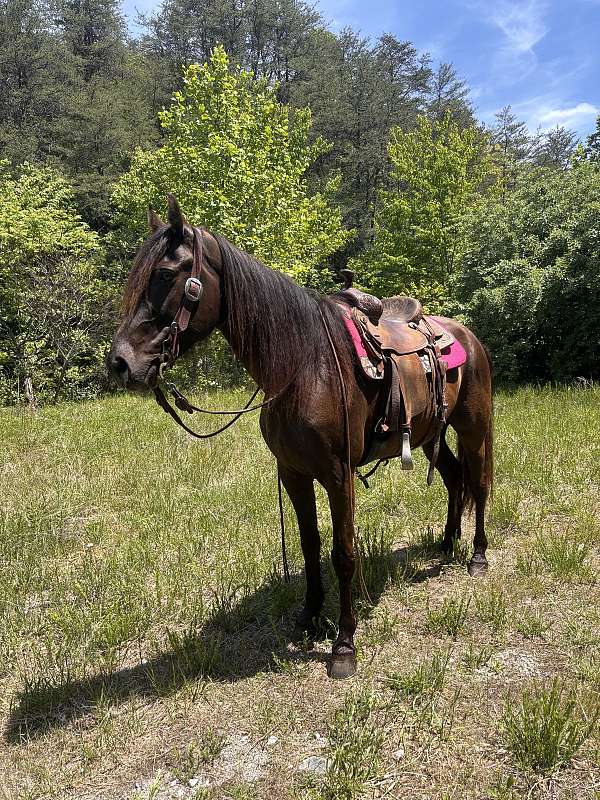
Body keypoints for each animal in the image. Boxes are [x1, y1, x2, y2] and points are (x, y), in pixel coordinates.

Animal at [108, 195, 493, 680]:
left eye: (163, 274)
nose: (118, 362)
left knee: (478, 482)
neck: (304, 368)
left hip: (474, 427)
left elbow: (343, 552)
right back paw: (445, 545)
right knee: (454, 478)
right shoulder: (293, 472)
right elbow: (310, 545)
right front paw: (309, 616)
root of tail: (464, 334)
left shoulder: (338, 475)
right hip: (429, 436)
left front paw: (344, 644)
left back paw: (476, 556)